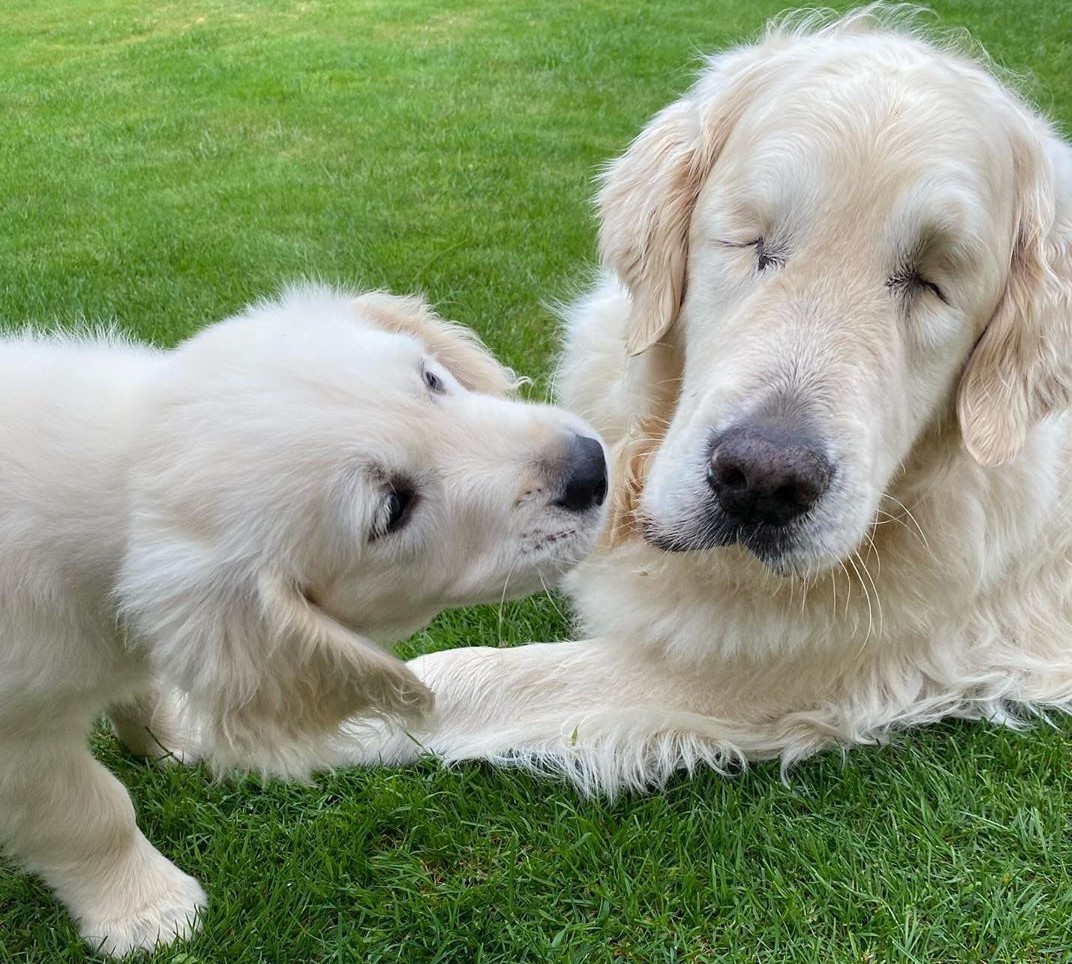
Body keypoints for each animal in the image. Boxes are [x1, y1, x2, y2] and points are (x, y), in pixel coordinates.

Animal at [0, 283, 604, 952]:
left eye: (431, 380)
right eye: (393, 508)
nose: (592, 468)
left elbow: (143, 695)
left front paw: (173, 739)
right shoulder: (20, 742)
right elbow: (89, 814)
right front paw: (147, 909)